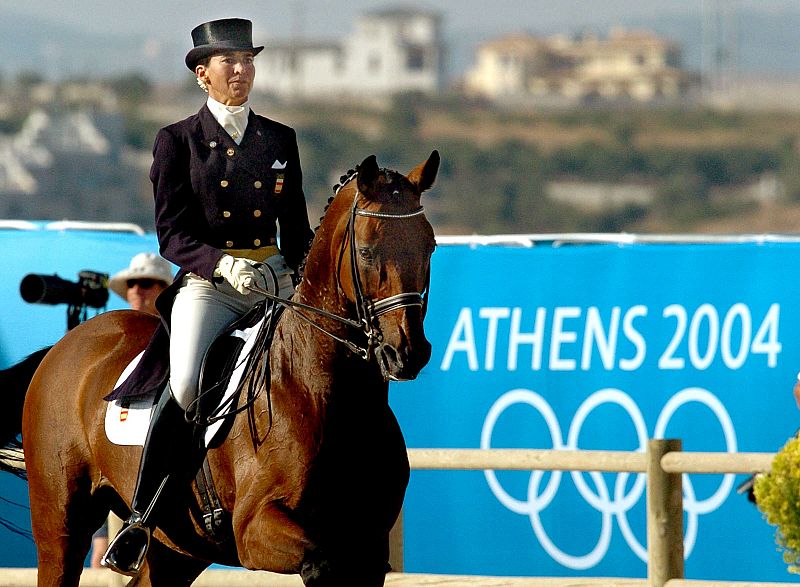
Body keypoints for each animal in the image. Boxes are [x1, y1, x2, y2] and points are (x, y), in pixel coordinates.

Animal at [0, 152, 438, 587]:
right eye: (366, 251)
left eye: (430, 246)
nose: (407, 353)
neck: (326, 393)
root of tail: (65, 345)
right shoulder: (255, 527)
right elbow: (320, 561)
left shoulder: (369, 550)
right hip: (61, 526)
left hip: (175, 548)